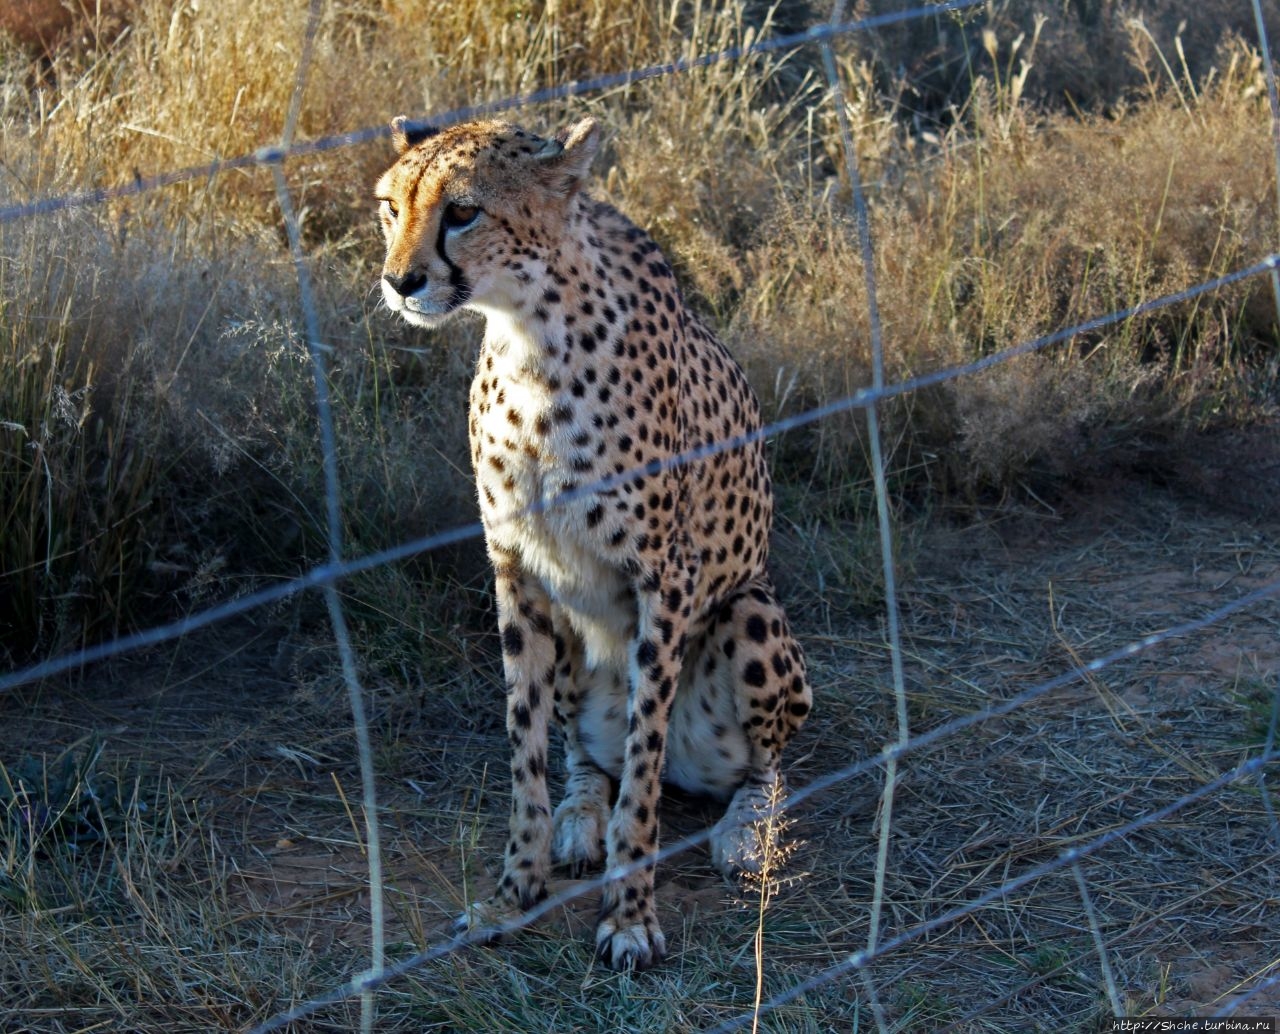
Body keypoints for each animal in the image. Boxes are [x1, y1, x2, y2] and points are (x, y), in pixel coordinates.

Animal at [373, 115, 808, 967]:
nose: (400, 282)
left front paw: (630, 913)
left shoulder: (665, 578)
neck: (528, 333)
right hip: (575, 629)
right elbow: (527, 750)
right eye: (390, 207)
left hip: (749, 611)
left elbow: (641, 770)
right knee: (584, 755)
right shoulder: (515, 571)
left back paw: (745, 830)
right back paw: (580, 818)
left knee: (757, 764)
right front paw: (515, 891)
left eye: (463, 211)